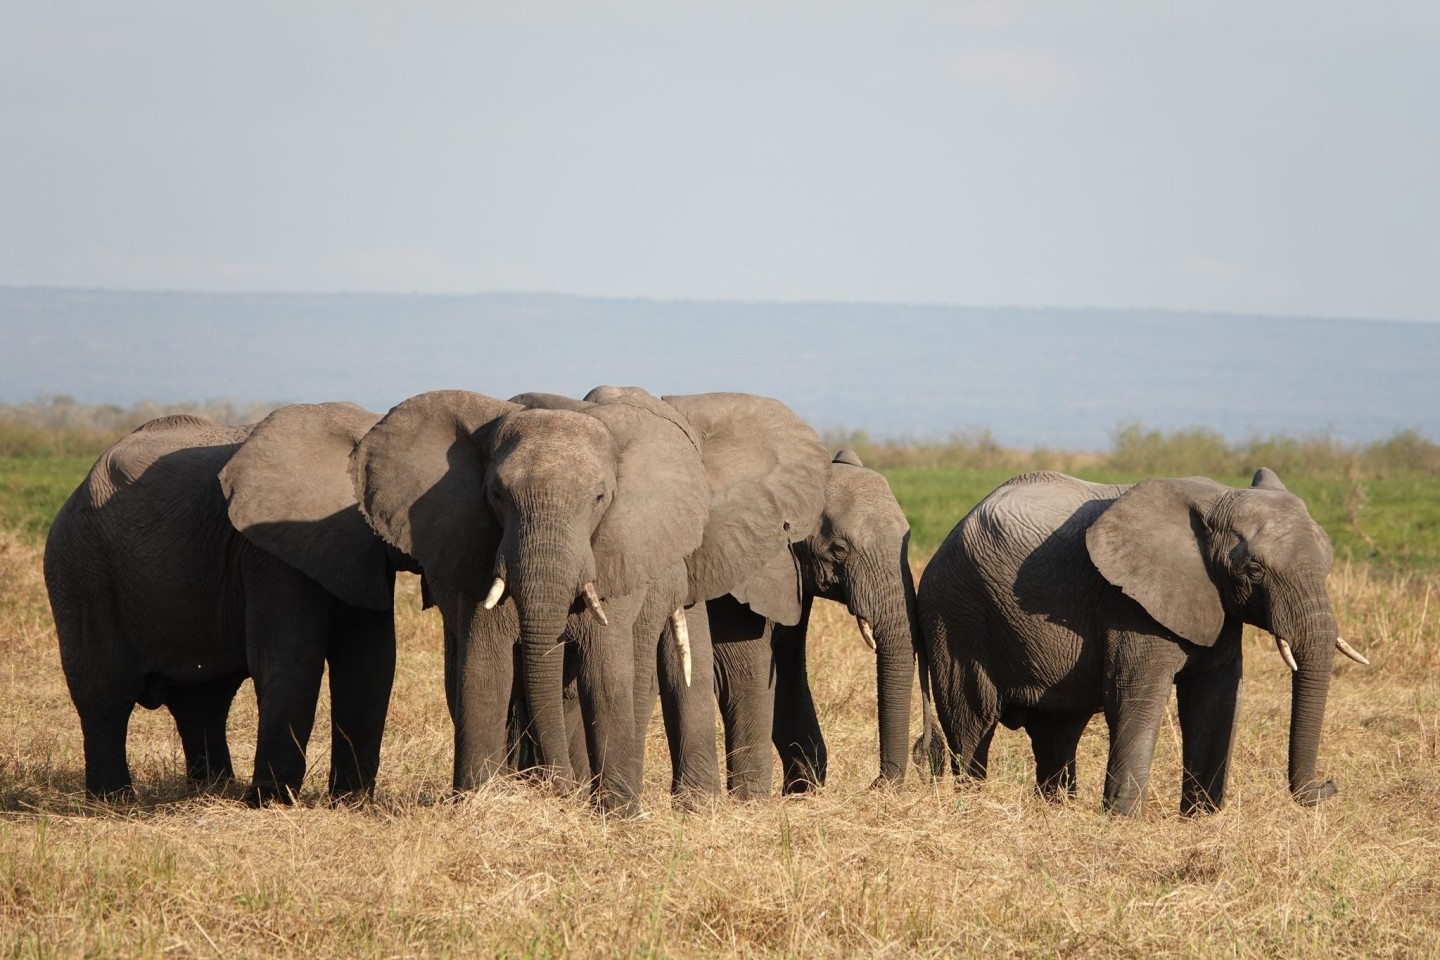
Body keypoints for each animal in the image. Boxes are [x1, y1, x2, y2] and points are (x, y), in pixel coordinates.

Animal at [43, 402, 411, 805]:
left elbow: (370, 663)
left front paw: (349, 803)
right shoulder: (269, 551)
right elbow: (291, 659)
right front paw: (270, 804)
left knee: (202, 699)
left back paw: (211, 790)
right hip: (80, 569)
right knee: (104, 694)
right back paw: (114, 800)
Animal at [656, 454, 915, 800]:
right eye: (839, 549)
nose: (877, 785)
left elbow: (788, 668)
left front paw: (799, 792)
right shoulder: (735, 578)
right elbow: (743, 668)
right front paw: (753, 800)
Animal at [915, 469, 1365, 817]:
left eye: (1328, 562)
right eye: (1253, 570)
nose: (1329, 785)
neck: (1216, 498)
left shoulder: (1212, 600)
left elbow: (1216, 699)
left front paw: (1201, 819)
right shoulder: (1130, 605)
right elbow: (1137, 695)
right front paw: (1122, 821)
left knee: (1056, 731)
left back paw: (1056, 809)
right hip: (955, 615)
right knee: (972, 723)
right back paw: (971, 805)